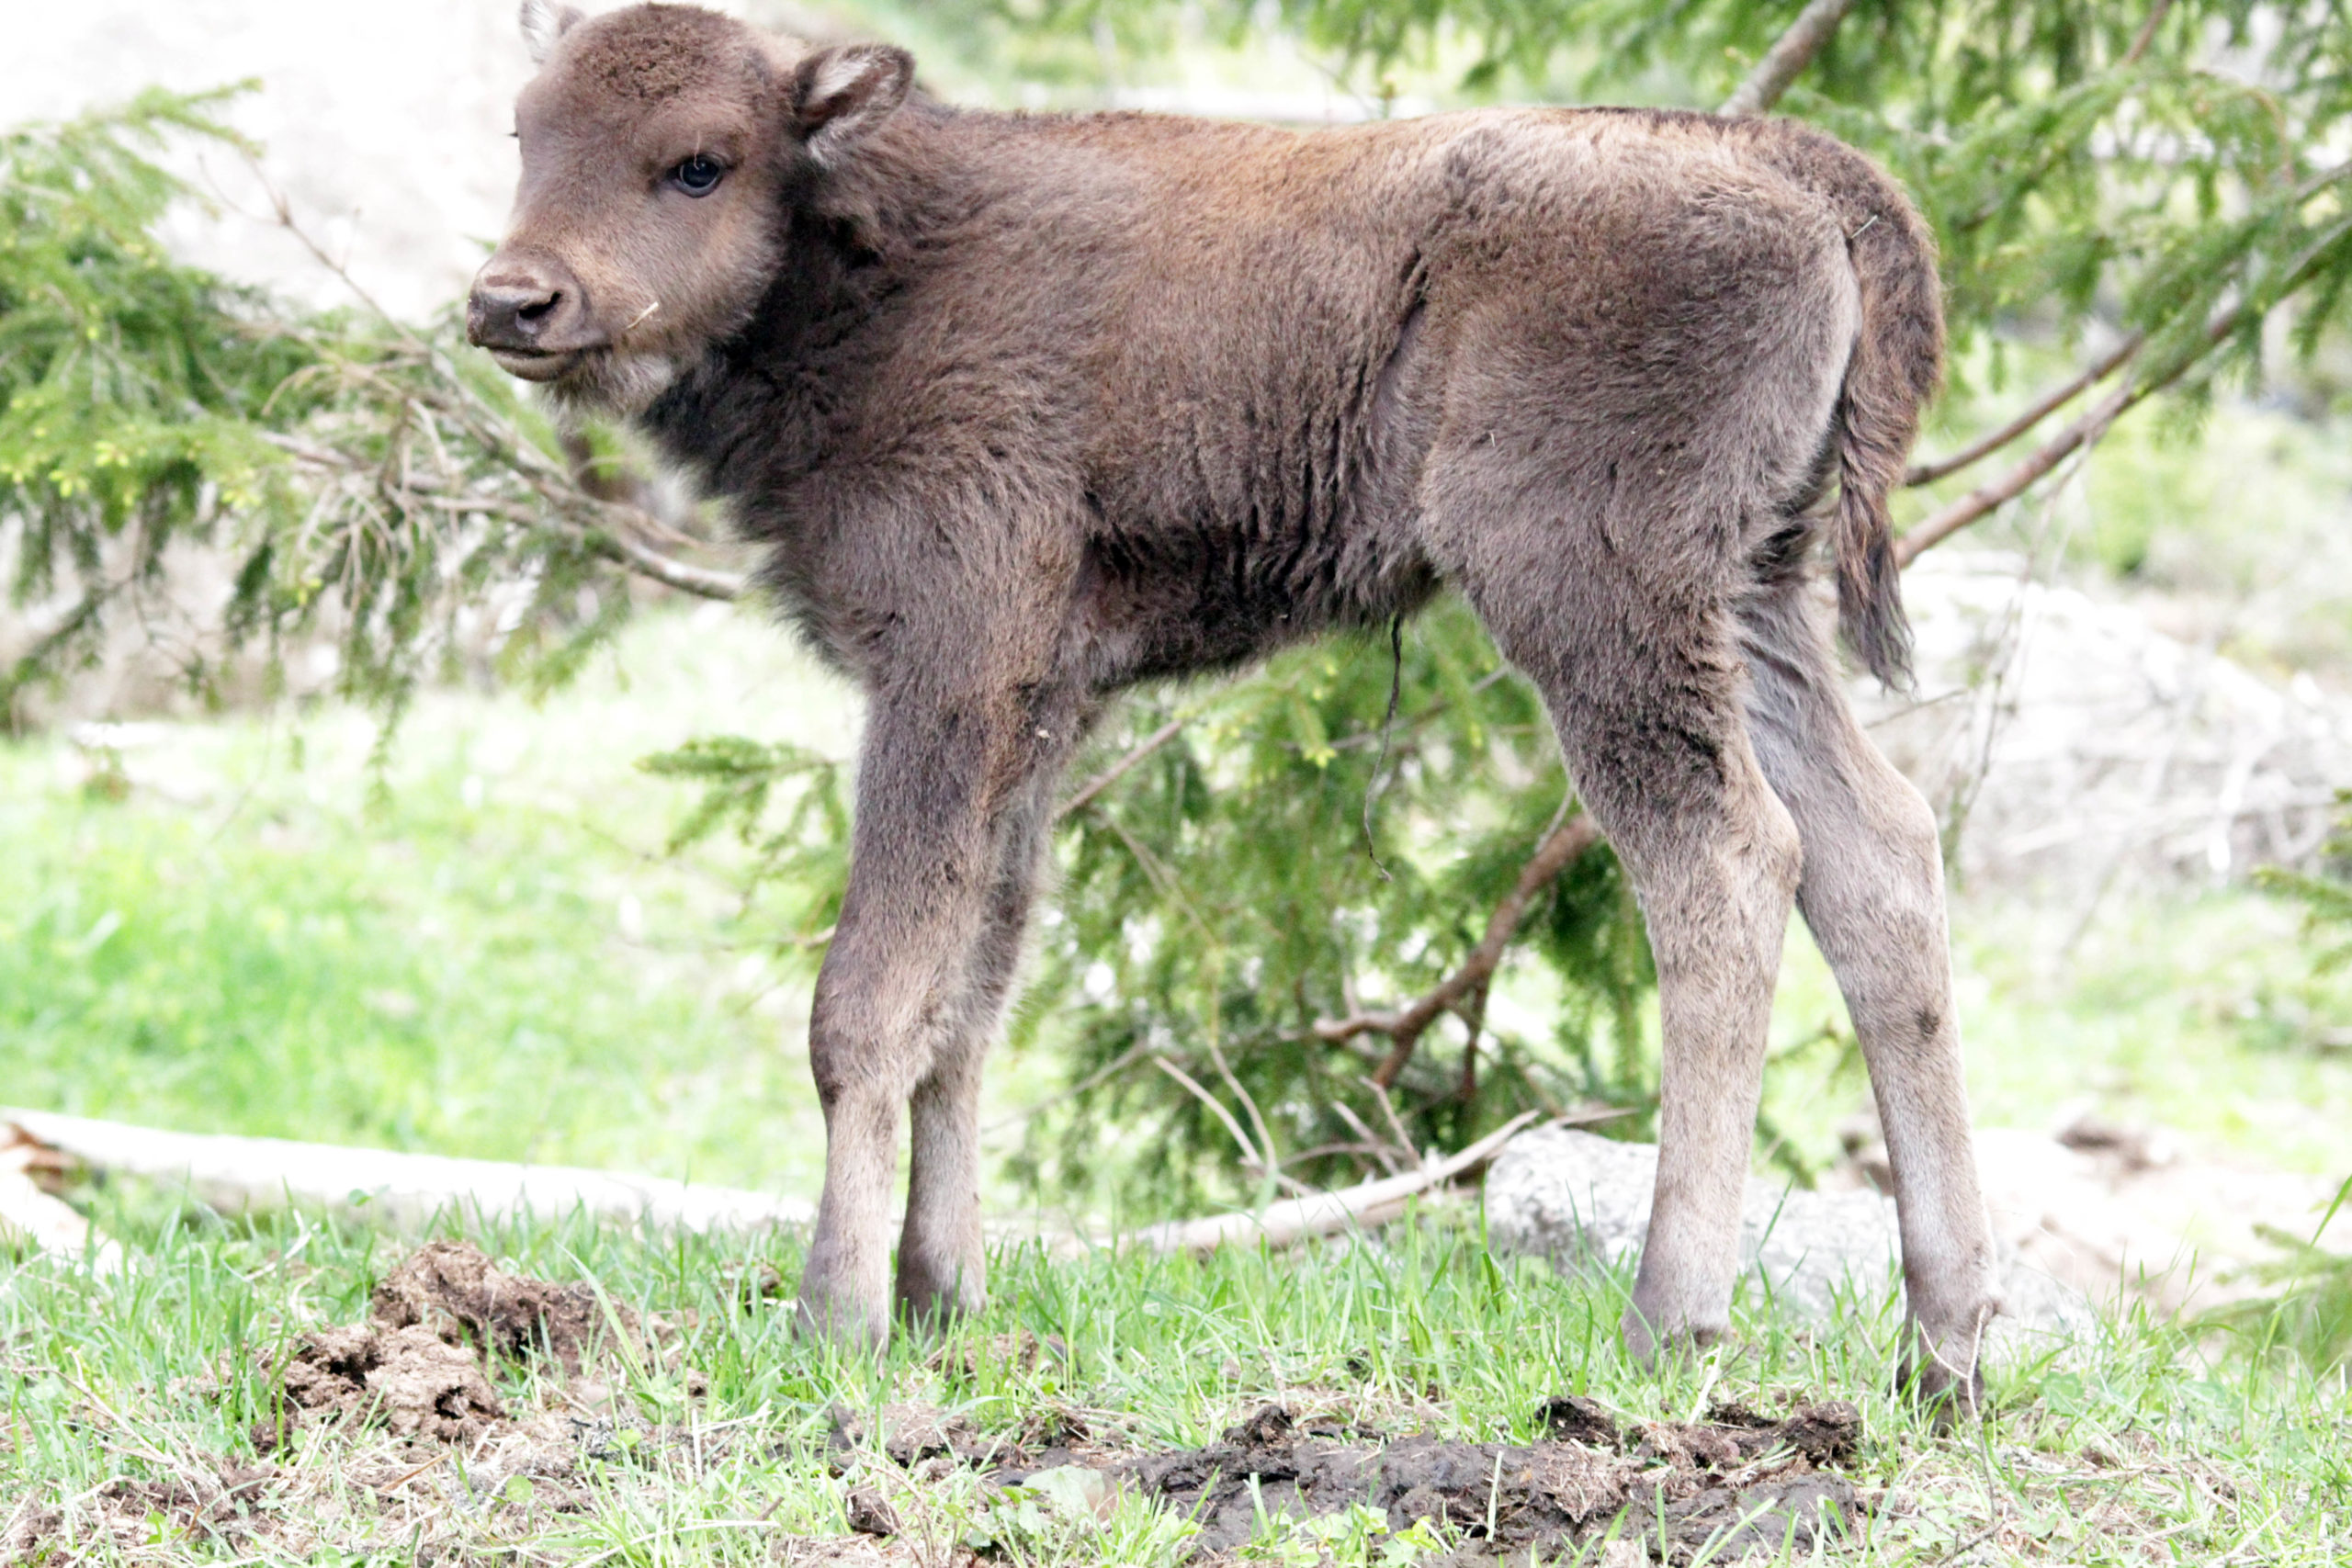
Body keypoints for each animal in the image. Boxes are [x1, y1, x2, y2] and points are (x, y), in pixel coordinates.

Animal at [472, 0, 2004, 1401]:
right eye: (525, 132)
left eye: (699, 163)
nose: (512, 301)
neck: (874, 261)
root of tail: (1790, 166)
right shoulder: (1038, 706)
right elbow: (973, 993)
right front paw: (940, 1296)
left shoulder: (945, 670)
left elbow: (870, 998)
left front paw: (835, 1318)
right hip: (1756, 598)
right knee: (1879, 859)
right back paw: (1945, 1349)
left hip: (1597, 601)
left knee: (1725, 867)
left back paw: (1668, 1322)